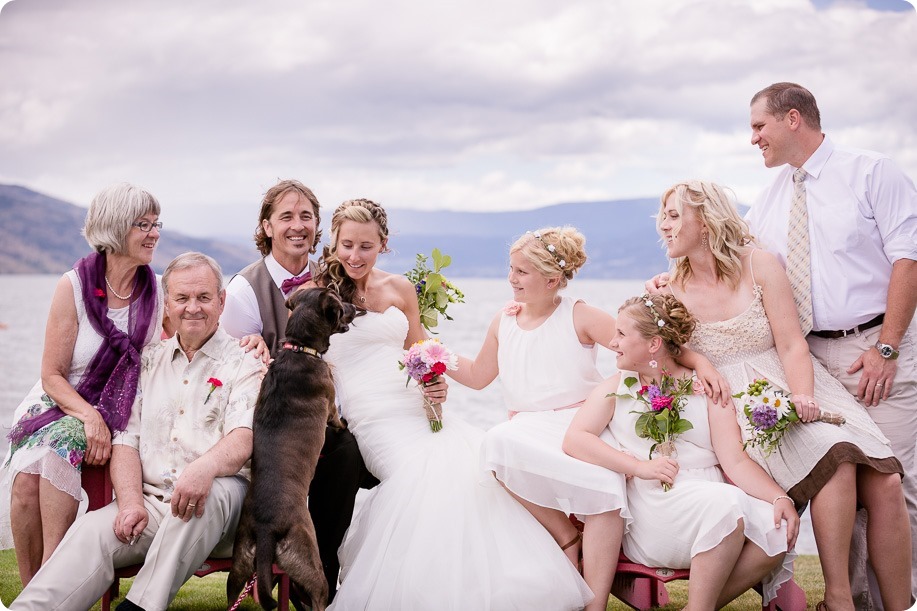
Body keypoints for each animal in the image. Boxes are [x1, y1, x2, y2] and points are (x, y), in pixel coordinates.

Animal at [227, 288, 356, 611]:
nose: (355, 306)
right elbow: (337, 419)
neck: (298, 348)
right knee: (319, 597)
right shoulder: (329, 401)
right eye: (340, 304)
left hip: (239, 565)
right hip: (310, 563)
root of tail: (266, 530)